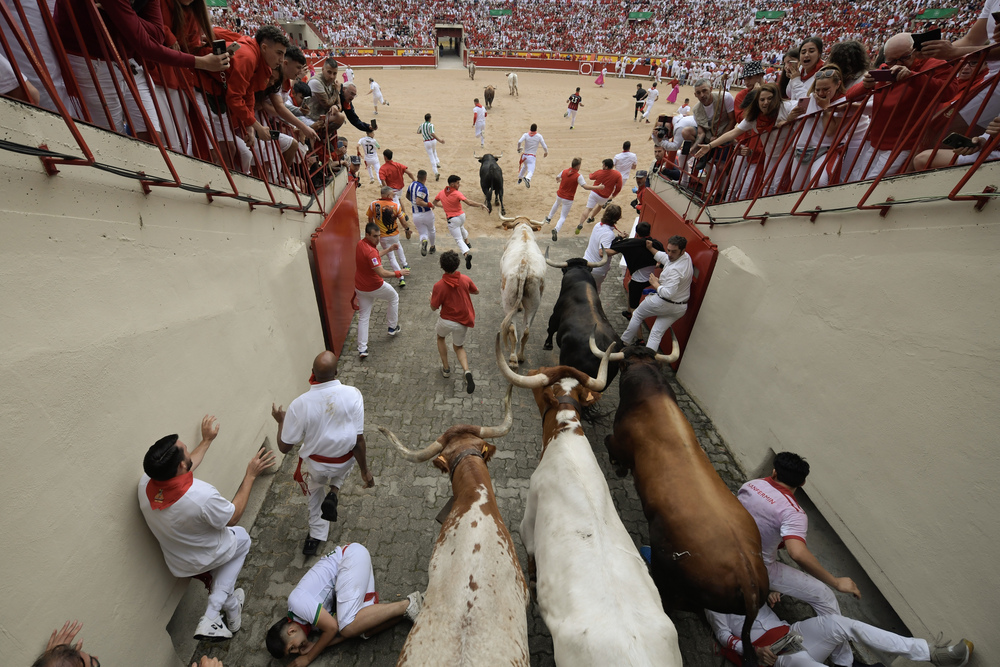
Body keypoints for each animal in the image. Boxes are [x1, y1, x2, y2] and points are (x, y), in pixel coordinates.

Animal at [500, 219, 548, 368]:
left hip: (508, 301)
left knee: (511, 329)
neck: (524, 229)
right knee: (526, 331)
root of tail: (524, 264)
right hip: (534, 302)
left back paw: (513, 359)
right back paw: (520, 356)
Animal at [592, 340, 772, 667]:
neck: (649, 394)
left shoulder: (620, 443)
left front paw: (618, 469)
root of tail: (747, 577)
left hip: (671, 581)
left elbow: (611, 445)